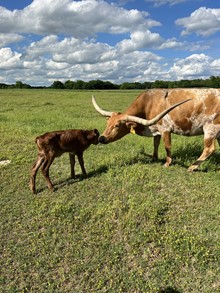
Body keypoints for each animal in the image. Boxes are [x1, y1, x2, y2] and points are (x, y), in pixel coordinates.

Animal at [92, 89, 220, 171]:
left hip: (210, 128)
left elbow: (167, 146)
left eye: (117, 125)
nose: (101, 138)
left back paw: (192, 167)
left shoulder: (165, 129)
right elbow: (156, 144)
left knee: (209, 148)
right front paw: (154, 158)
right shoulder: (156, 130)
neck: (149, 103)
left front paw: (167, 163)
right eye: (107, 122)